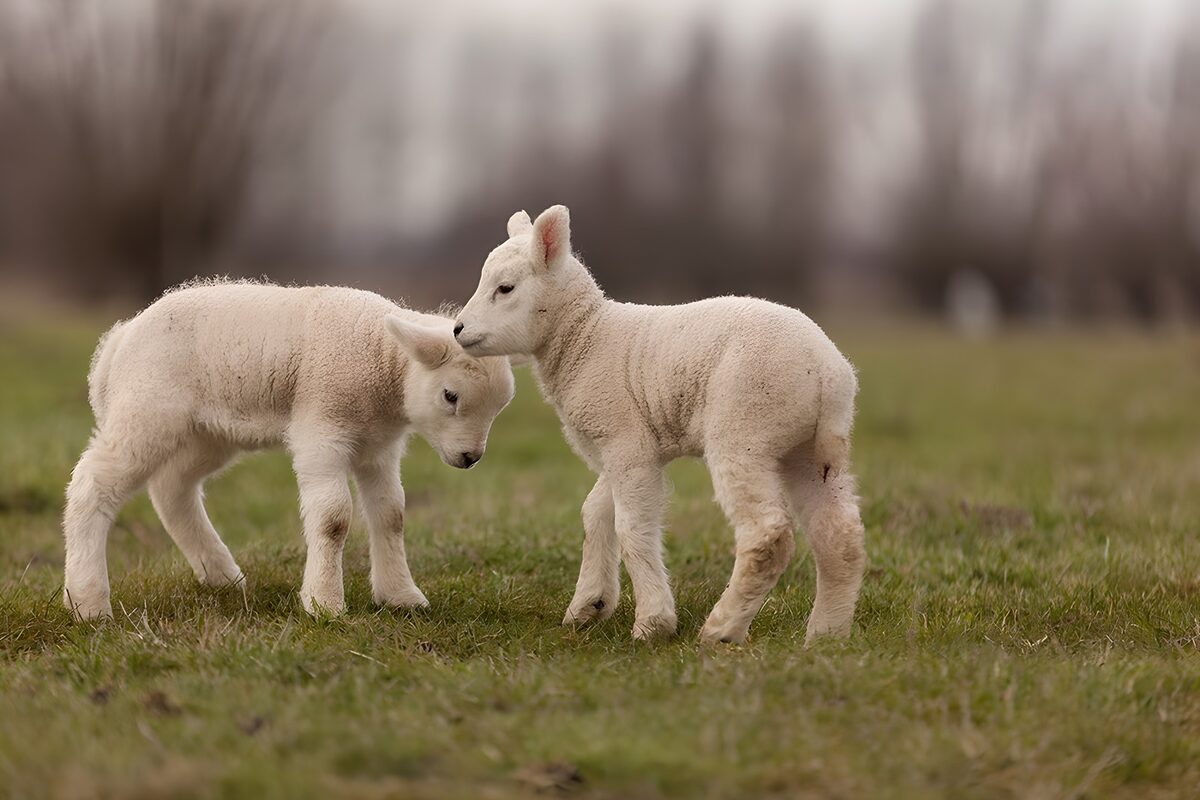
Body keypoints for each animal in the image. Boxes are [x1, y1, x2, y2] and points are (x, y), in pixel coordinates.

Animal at [63, 281, 515, 621]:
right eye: (450, 396)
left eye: (499, 408)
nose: (469, 458)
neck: (383, 363)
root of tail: (118, 342)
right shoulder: (321, 429)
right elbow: (333, 518)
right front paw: (324, 604)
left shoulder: (378, 447)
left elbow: (392, 515)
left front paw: (401, 596)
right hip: (146, 409)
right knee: (93, 485)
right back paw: (87, 602)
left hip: (206, 432)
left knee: (172, 487)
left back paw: (221, 575)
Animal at [453, 206, 866, 644]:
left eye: (505, 288)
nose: (458, 329)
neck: (586, 337)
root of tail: (828, 373)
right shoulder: (627, 445)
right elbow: (595, 512)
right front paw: (589, 605)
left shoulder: (625, 442)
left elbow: (631, 527)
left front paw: (653, 622)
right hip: (807, 450)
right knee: (839, 536)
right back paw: (825, 635)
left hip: (744, 431)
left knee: (767, 535)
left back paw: (721, 629)